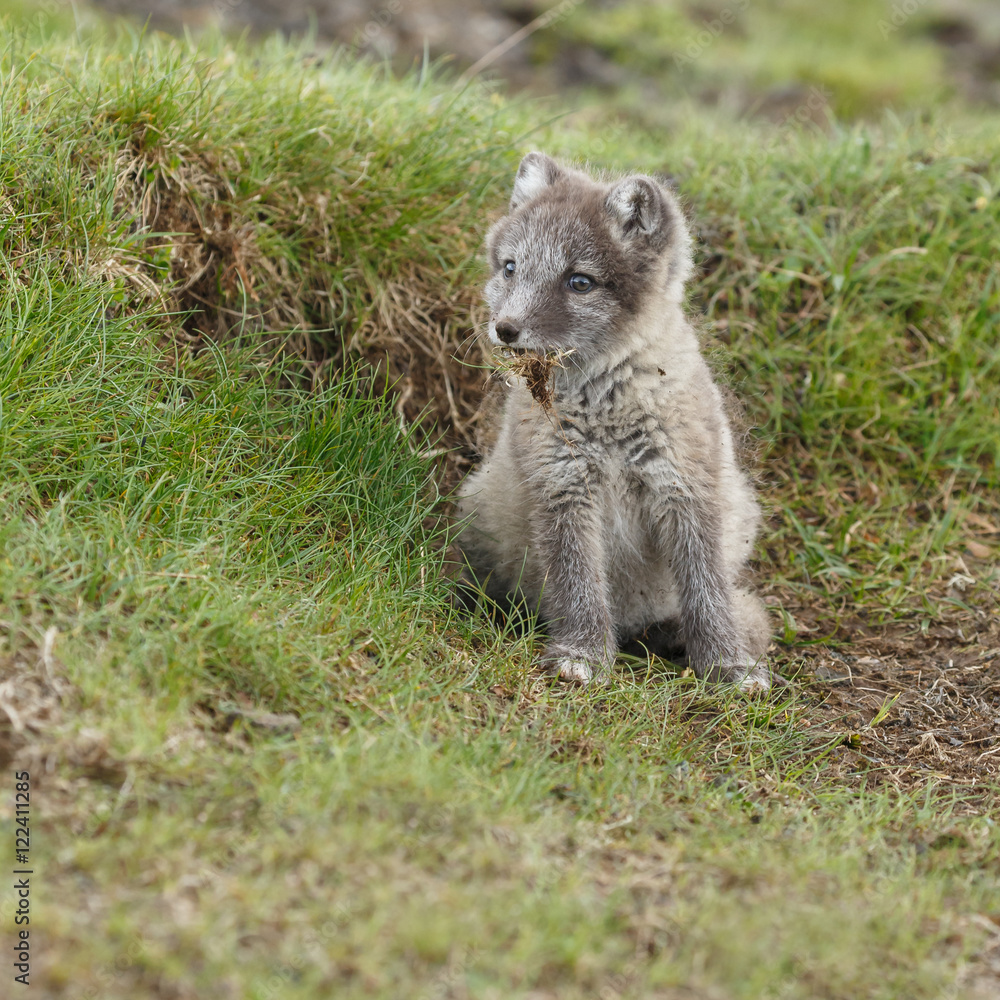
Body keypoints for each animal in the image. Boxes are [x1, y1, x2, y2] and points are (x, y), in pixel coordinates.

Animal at [455, 152, 772, 691]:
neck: (607, 413)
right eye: (511, 267)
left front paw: (727, 663)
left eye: (579, 281)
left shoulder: (687, 487)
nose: (505, 329)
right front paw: (583, 653)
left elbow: (707, 589)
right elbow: (577, 580)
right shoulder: (562, 485)